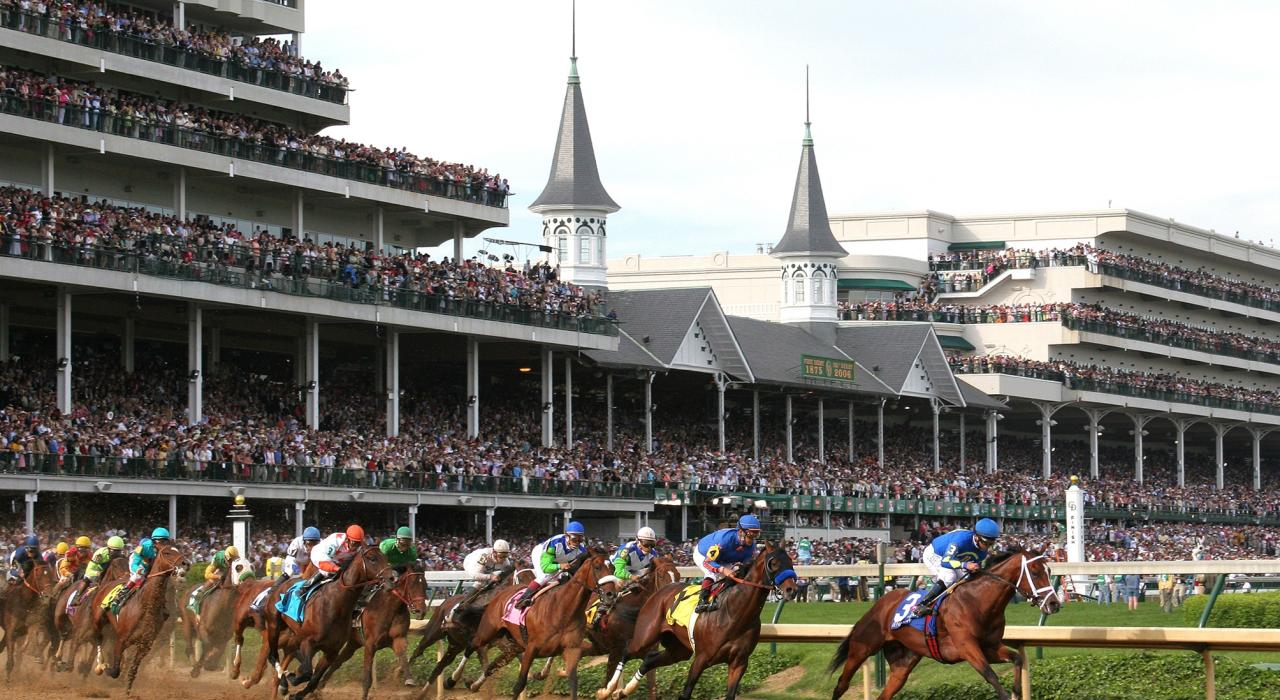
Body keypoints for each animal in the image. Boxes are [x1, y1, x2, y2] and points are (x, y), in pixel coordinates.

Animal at [93, 545, 186, 691]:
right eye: (167, 552)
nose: (185, 563)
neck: (146, 605)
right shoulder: (122, 640)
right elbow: (115, 670)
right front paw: (107, 669)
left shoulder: (145, 645)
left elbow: (132, 671)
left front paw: (127, 691)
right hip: (98, 620)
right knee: (98, 639)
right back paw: (100, 665)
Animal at [267, 547, 391, 700]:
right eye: (372, 558)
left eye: (386, 557)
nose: (392, 577)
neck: (336, 606)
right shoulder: (308, 642)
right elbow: (307, 672)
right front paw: (293, 678)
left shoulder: (332, 651)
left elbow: (314, 680)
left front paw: (296, 694)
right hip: (274, 625)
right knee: (272, 655)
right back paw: (284, 682)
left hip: (294, 634)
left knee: (288, 652)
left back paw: (283, 684)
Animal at [458, 552, 616, 700]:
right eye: (597, 567)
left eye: (613, 568)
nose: (611, 595)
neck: (563, 610)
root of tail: (499, 595)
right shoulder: (531, 648)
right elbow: (520, 684)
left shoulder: (571, 649)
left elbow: (573, 683)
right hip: (487, 632)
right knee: (471, 646)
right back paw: (455, 677)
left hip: (512, 645)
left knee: (491, 665)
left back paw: (471, 683)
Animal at [611, 542, 798, 700]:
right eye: (773, 563)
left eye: (790, 561)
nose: (792, 590)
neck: (734, 613)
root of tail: (659, 591)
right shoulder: (701, 658)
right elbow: (685, 694)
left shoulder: (739, 663)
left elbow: (730, 695)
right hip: (646, 636)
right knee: (627, 650)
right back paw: (610, 689)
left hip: (679, 650)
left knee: (649, 660)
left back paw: (623, 691)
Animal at [829, 547, 1059, 700]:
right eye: (1036, 572)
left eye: (1049, 572)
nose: (1055, 604)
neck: (978, 601)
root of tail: (880, 603)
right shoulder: (967, 647)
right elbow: (991, 676)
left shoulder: (990, 647)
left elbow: (1017, 659)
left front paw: (1017, 691)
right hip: (862, 647)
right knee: (842, 684)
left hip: (903, 664)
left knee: (885, 694)